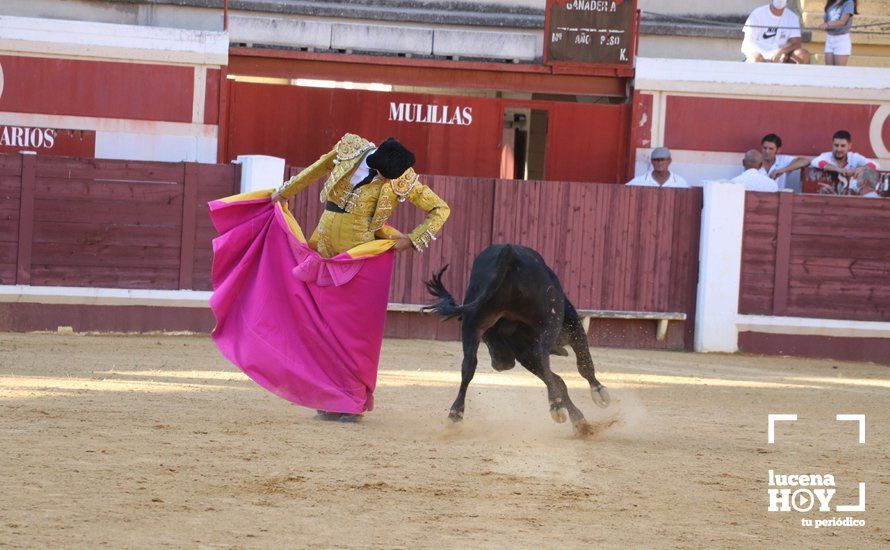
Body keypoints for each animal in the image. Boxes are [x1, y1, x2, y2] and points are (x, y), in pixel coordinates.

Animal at [424, 245, 612, 436]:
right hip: (548, 320)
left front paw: (580, 422)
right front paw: (598, 393)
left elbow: (557, 380)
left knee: (468, 365)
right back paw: (556, 406)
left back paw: (455, 415)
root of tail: (508, 251)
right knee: (543, 355)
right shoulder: (572, 324)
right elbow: (582, 365)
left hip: (473, 323)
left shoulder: (522, 353)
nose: (499, 362)